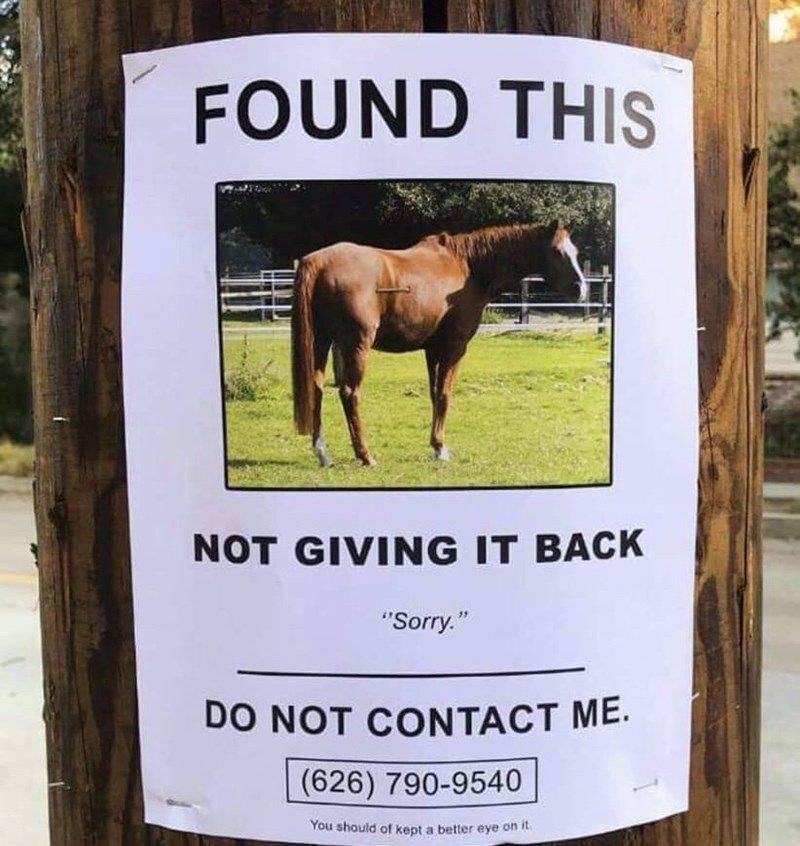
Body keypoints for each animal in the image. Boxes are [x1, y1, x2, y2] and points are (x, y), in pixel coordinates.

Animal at [291, 220, 587, 468]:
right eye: (556, 252)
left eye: (574, 251)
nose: (581, 289)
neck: (468, 267)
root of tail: (318, 262)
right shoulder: (454, 347)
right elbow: (445, 395)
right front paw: (442, 449)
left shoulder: (432, 350)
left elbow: (434, 394)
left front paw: (434, 445)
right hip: (356, 345)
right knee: (350, 394)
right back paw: (365, 455)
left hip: (321, 342)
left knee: (317, 388)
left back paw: (323, 453)